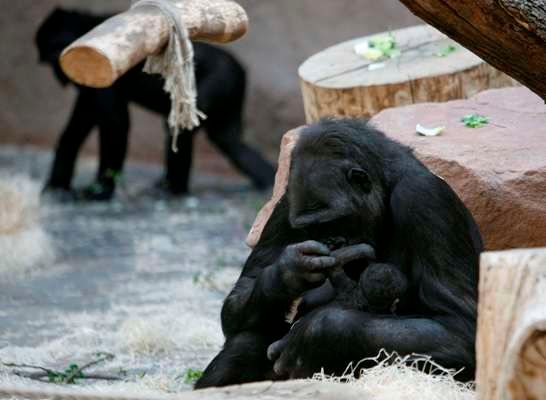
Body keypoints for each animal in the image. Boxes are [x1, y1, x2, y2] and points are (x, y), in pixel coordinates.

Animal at [35, 6, 274, 200]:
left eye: (50, 58)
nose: (59, 76)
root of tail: (241, 69)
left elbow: (114, 123)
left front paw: (100, 191)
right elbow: (79, 125)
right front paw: (57, 185)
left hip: (220, 80)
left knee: (182, 129)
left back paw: (174, 190)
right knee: (231, 142)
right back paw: (269, 180)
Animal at [194, 118, 480, 388]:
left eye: (334, 221)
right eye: (311, 228)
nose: (332, 241)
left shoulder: (423, 198)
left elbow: (459, 327)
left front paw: (318, 335)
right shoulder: (287, 200)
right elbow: (241, 293)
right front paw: (289, 272)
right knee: (247, 339)